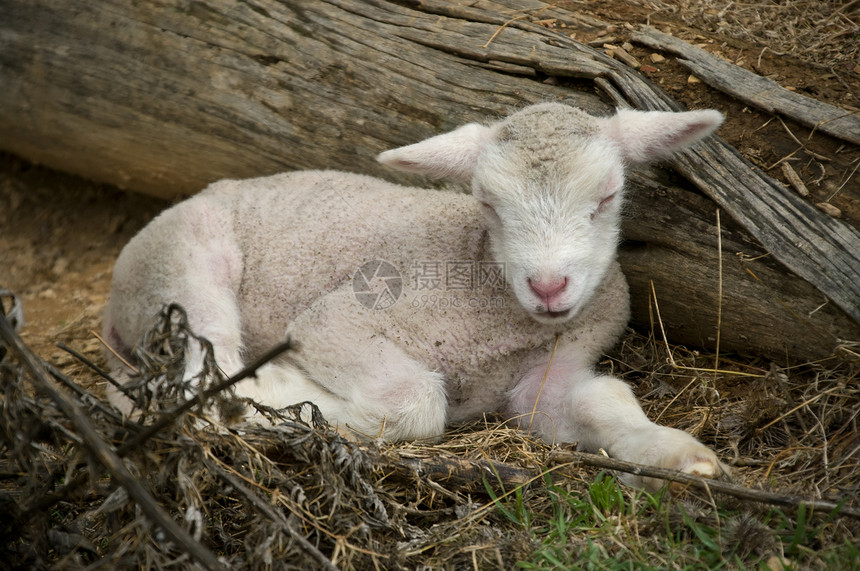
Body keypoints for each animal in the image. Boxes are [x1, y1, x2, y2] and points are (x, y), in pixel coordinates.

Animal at [104, 103, 728, 492]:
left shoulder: (553, 370)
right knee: (197, 379)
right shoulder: (332, 321)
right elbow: (417, 401)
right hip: (181, 267)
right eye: (487, 203)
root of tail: (113, 304)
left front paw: (678, 456)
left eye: (607, 196)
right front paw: (294, 396)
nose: (548, 286)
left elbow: (602, 399)